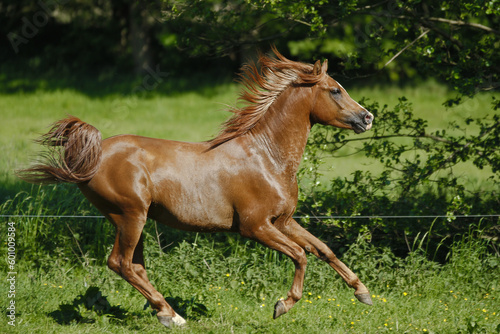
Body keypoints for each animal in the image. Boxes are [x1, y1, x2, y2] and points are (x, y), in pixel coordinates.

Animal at [18, 48, 372, 328]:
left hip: (132, 220)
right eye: (335, 90)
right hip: (129, 216)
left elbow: (323, 249)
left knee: (135, 266)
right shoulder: (255, 226)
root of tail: (94, 154)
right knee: (120, 263)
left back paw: (168, 314)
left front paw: (363, 292)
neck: (266, 156)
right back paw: (172, 316)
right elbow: (300, 255)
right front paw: (282, 306)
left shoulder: (282, 221)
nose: (367, 117)